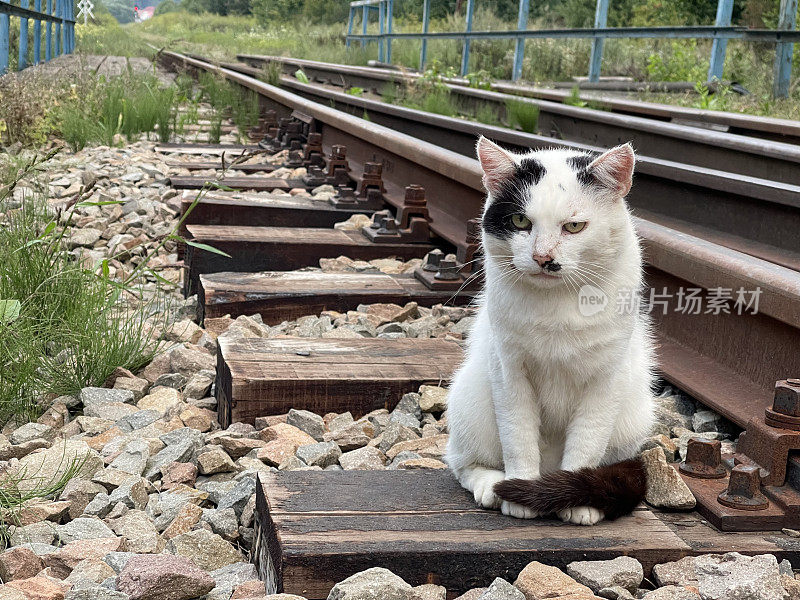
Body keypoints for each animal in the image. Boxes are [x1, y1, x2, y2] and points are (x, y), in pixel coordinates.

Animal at [444, 136, 656, 524]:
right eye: (520, 221)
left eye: (573, 227)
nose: (543, 257)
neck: (558, 306)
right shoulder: (509, 371)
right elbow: (518, 437)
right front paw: (521, 494)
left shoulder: (608, 378)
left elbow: (587, 441)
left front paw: (579, 501)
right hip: (471, 400)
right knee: (461, 462)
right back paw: (493, 486)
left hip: (634, 417)